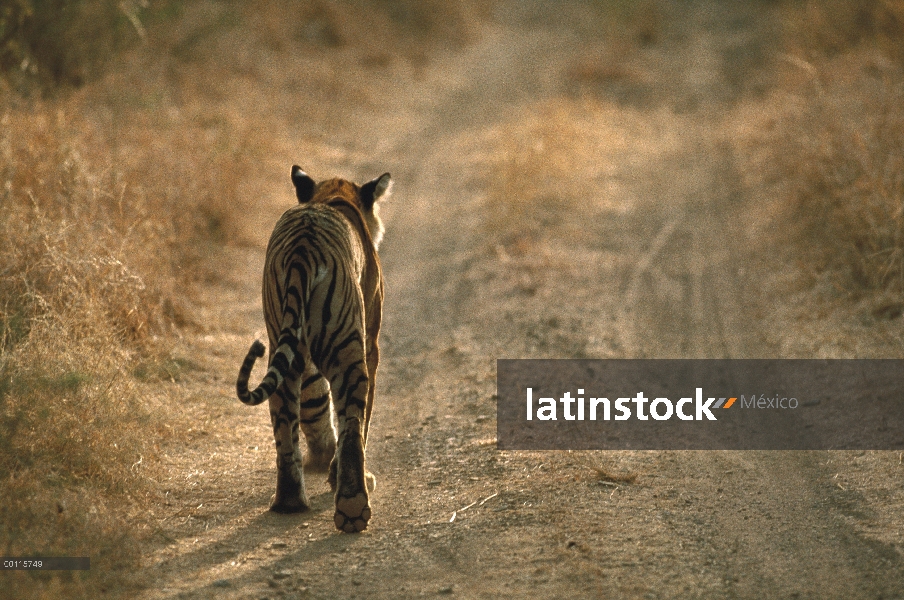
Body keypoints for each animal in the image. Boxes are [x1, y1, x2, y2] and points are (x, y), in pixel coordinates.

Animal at [235, 165, 390, 536]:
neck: (333, 195)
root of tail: (302, 249)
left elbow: (314, 403)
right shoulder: (370, 343)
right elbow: (358, 419)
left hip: (282, 346)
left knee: (284, 422)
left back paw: (289, 502)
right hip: (350, 353)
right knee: (352, 423)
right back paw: (353, 508)